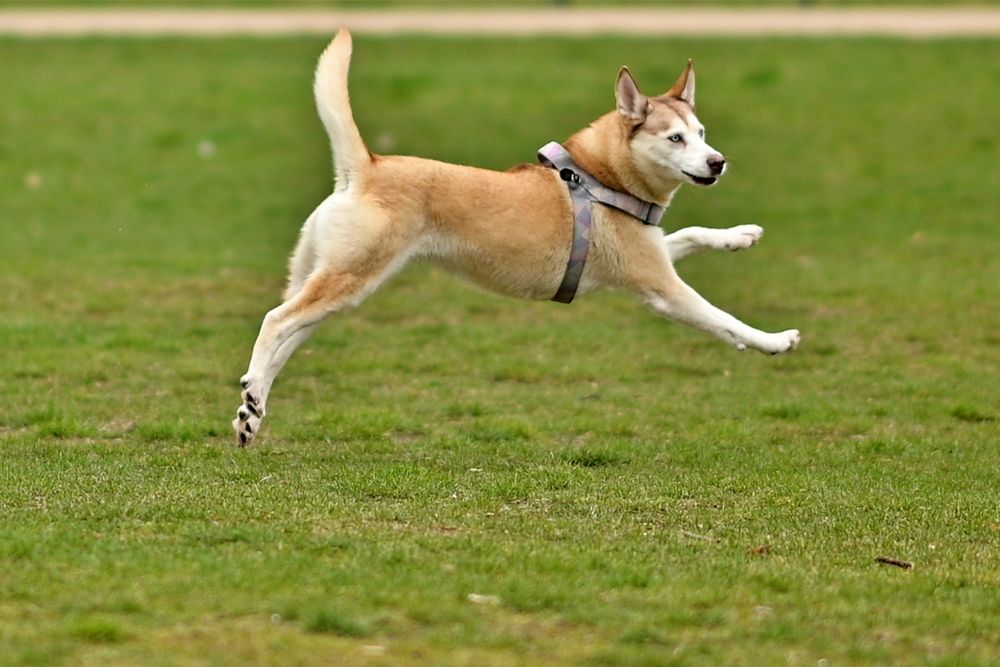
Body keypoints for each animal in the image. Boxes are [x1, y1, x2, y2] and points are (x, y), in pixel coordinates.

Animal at [230, 28, 800, 446]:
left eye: (701, 133)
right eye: (675, 138)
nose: (717, 162)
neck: (601, 179)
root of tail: (365, 168)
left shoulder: (647, 257)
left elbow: (691, 234)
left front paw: (741, 236)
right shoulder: (661, 287)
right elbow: (724, 320)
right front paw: (775, 341)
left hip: (335, 284)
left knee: (286, 338)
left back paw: (251, 408)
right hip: (350, 277)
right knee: (275, 320)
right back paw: (254, 393)